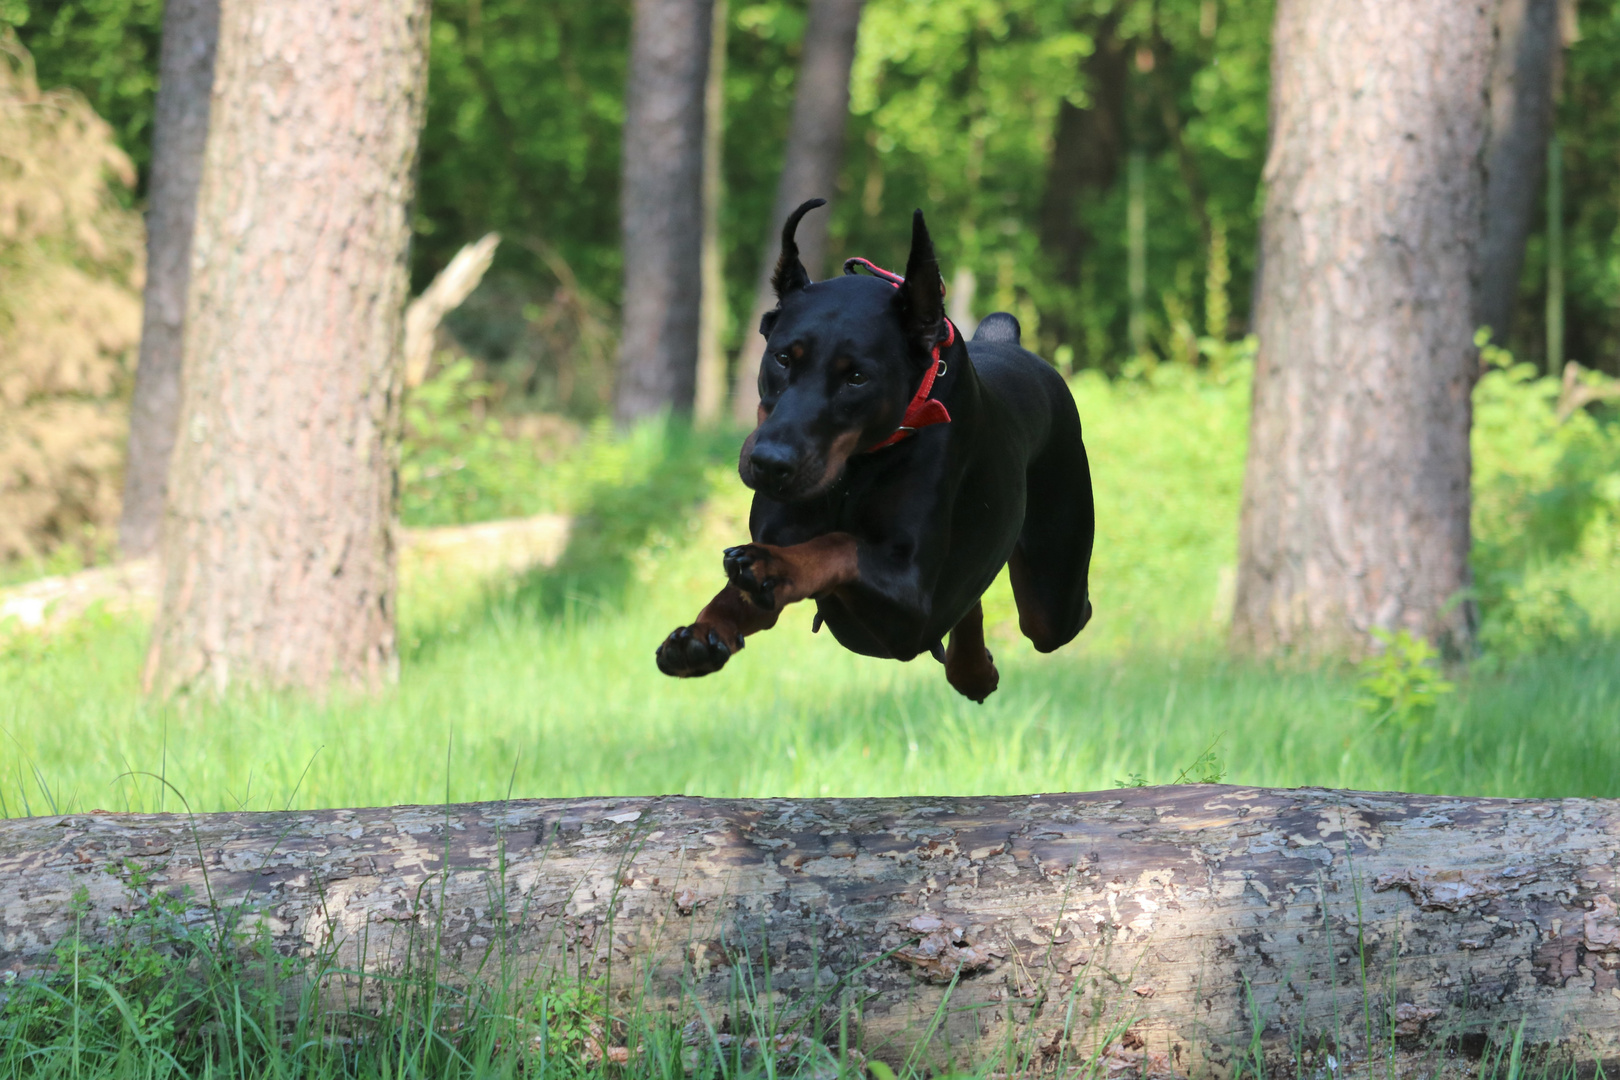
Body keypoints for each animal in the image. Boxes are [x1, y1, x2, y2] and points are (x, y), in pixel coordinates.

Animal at [651, 199, 1095, 702]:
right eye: (783, 358)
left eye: (857, 378)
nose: (769, 464)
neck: (856, 468)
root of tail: (1010, 343)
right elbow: (742, 595)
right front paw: (701, 634)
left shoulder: (911, 601)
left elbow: (839, 543)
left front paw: (772, 564)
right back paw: (973, 670)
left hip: (1053, 595)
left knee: (1051, 613)